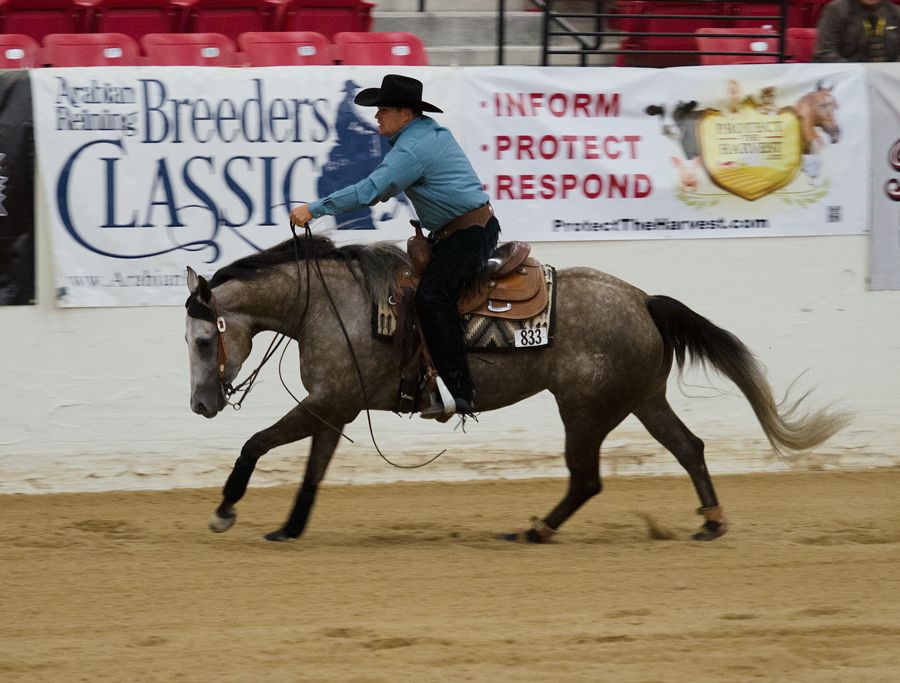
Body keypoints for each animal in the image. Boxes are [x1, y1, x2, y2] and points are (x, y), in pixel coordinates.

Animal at [185, 233, 849, 543]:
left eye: (200, 342)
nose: (200, 405)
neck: (331, 304)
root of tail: (642, 300)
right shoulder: (335, 408)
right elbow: (312, 472)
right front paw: (289, 529)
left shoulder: (327, 403)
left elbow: (256, 443)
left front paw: (224, 511)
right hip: (641, 400)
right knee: (689, 448)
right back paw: (710, 523)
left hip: (584, 411)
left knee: (587, 479)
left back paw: (535, 530)